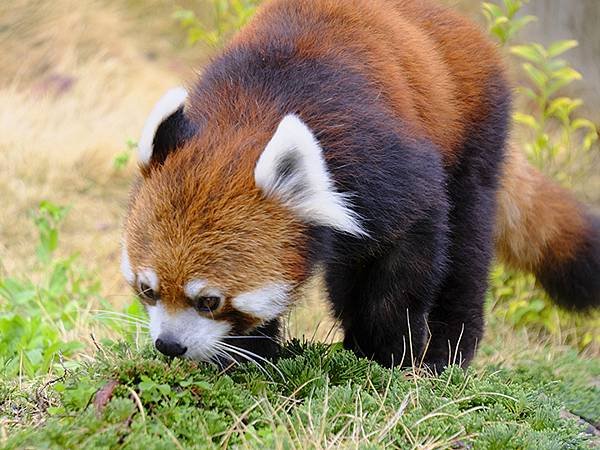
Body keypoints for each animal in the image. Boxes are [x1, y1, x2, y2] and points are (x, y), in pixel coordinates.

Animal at [119, 0, 596, 370]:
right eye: (148, 289)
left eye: (209, 301)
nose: (169, 345)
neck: (251, 114)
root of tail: (458, 22)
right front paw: (247, 352)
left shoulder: (379, 165)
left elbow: (410, 253)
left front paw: (391, 352)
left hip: (474, 130)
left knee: (466, 245)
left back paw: (445, 354)